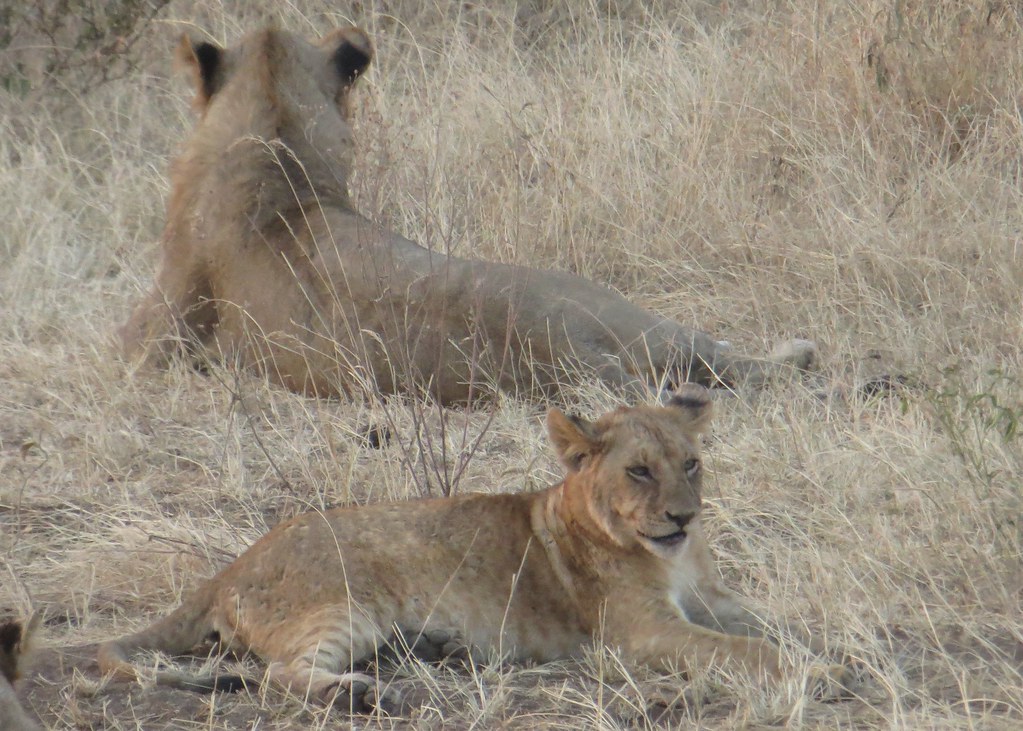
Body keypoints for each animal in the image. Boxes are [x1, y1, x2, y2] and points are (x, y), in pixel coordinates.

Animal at [101, 386, 855, 711]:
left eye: (690, 463)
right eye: (639, 470)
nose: (684, 516)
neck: (670, 555)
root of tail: (231, 565)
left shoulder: (714, 599)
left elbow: (776, 623)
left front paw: (835, 646)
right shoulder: (641, 630)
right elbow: (742, 650)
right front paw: (814, 673)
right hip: (346, 603)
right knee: (278, 675)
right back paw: (364, 694)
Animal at [119, 27, 818, 406]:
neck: (273, 146)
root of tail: (568, 345)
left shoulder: (153, 338)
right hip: (640, 321)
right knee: (727, 360)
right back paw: (805, 358)